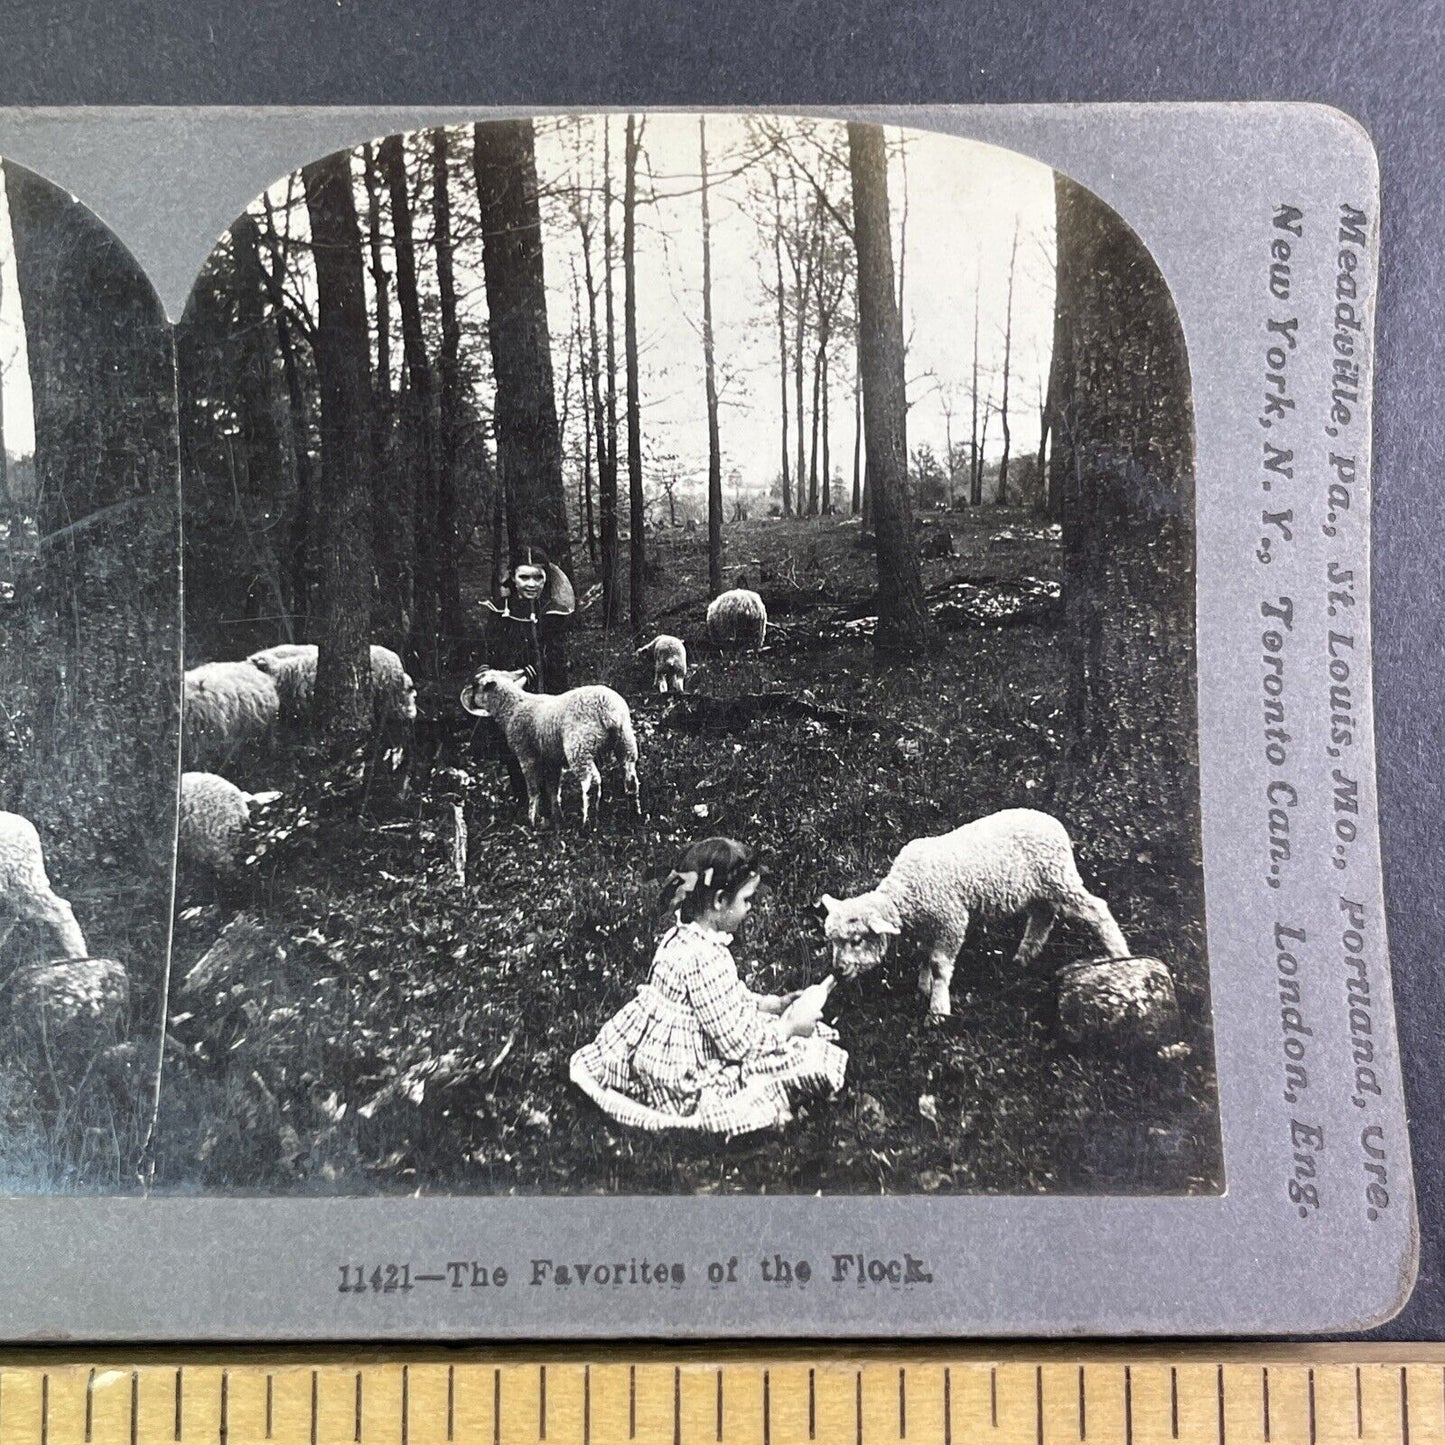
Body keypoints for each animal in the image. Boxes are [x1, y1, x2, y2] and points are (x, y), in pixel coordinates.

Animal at [459, 664, 641, 826]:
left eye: (476, 685)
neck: (514, 706)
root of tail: (608, 710)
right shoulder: (552, 758)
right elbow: (553, 789)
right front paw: (557, 818)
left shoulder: (526, 754)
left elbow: (533, 789)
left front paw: (532, 820)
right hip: (626, 741)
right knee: (630, 777)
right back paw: (634, 816)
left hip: (579, 748)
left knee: (591, 782)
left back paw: (588, 824)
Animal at [826, 809, 1127, 1023]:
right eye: (833, 941)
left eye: (856, 940)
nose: (837, 970)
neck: (907, 891)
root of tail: (1054, 822)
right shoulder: (928, 925)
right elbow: (924, 955)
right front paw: (923, 988)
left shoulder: (950, 920)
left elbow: (939, 964)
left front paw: (938, 1009)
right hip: (1039, 888)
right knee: (1043, 916)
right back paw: (1023, 957)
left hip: (1059, 876)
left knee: (1095, 908)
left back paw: (1118, 952)